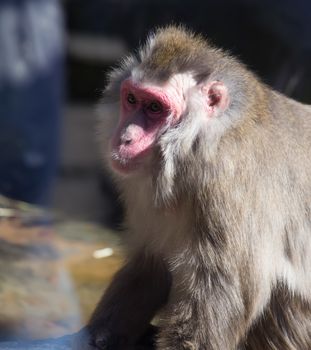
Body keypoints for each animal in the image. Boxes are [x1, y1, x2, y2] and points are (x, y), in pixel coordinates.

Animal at [84, 26, 311, 348]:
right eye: (131, 99)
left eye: (155, 107)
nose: (124, 138)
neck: (198, 146)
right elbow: (151, 267)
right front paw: (105, 333)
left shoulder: (226, 186)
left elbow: (219, 299)